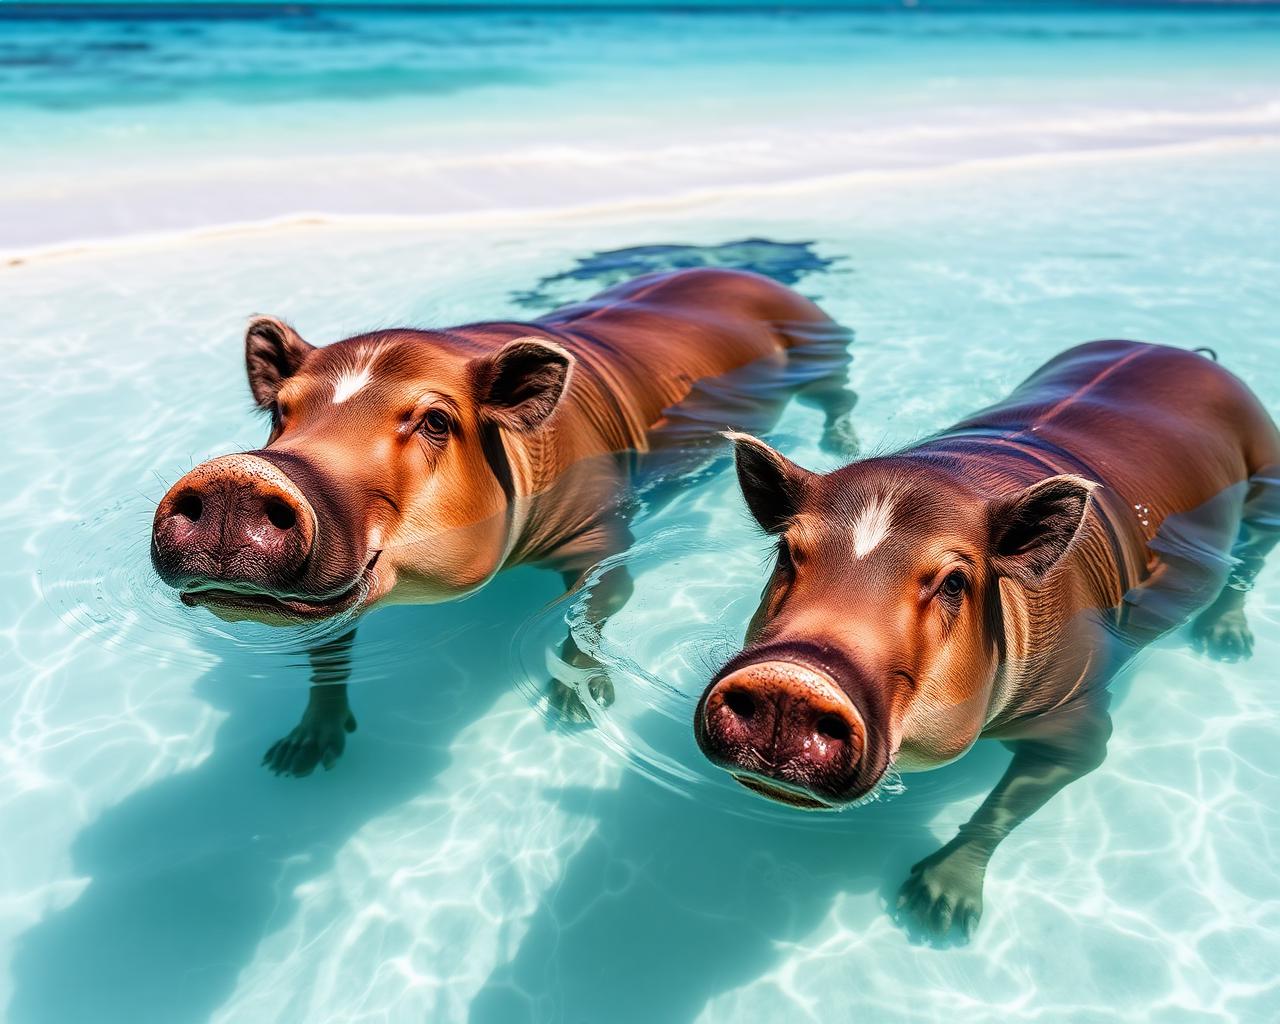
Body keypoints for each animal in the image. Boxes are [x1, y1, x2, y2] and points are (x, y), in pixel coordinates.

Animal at [151, 268, 856, 776]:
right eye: (281, 411)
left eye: (435, 420)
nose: (237, 476)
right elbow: (326, 647)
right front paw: (298, 756)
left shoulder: (602, 530)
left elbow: (597, 602)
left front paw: (571, 709)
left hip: (825, 347)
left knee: (837, 396)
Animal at [694, 339, 1280, 941]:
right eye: (788, 552)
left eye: (955, 582)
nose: (790, 681)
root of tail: (1186, 353)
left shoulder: (1080, 716)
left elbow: (1007, 804)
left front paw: (934, 913)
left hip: (1268, 473)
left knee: (1255, 553)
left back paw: (1226, 642)